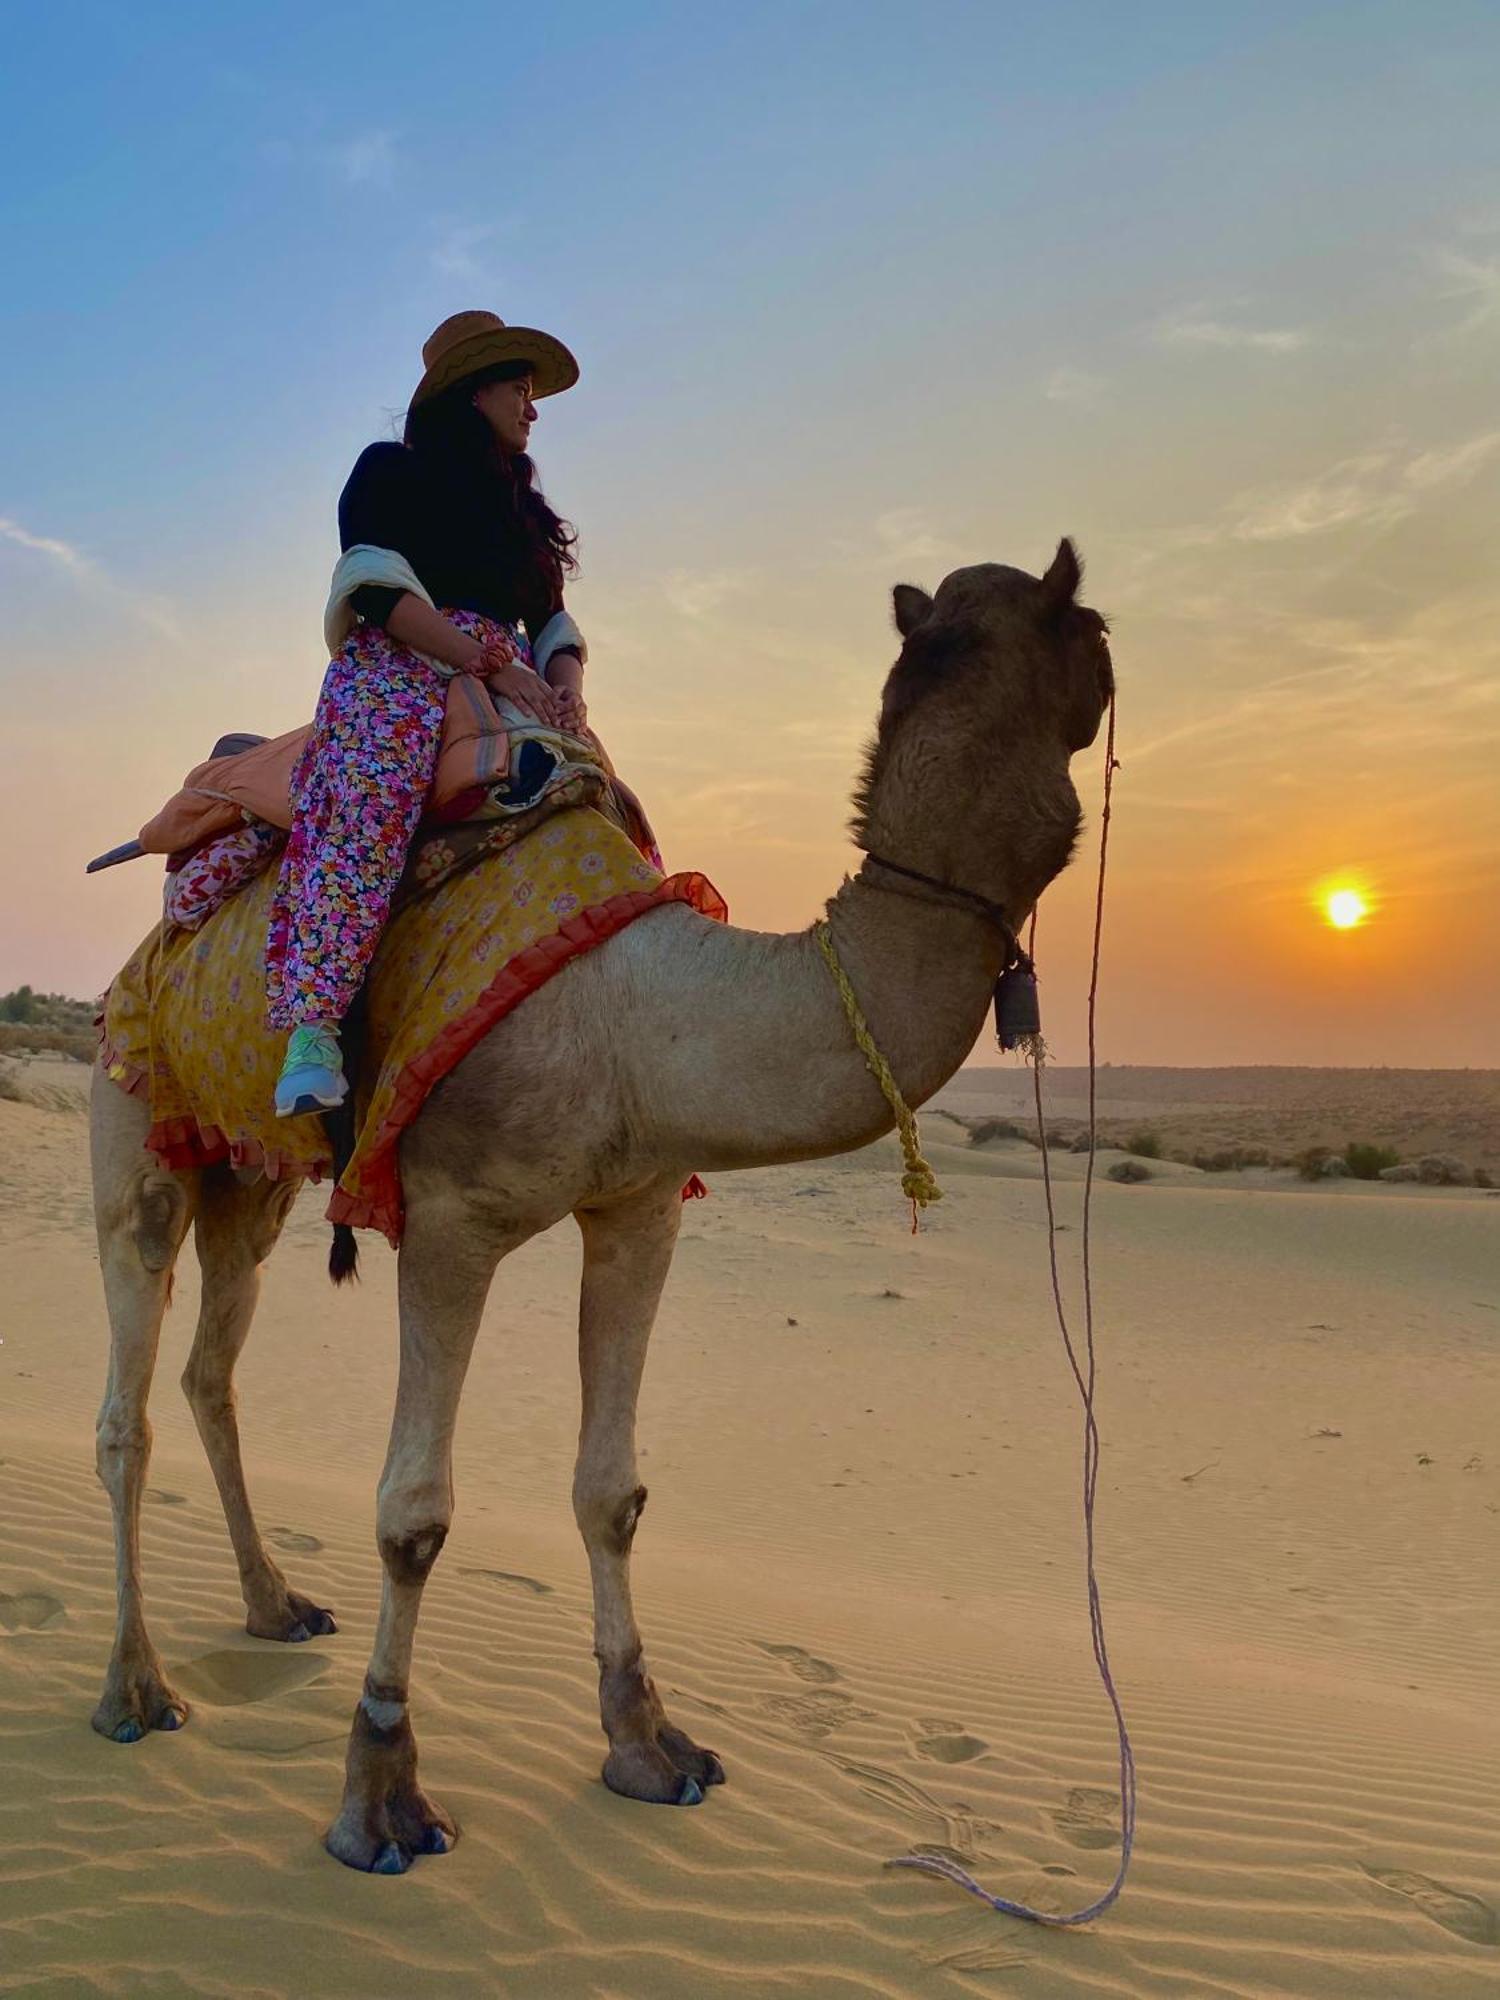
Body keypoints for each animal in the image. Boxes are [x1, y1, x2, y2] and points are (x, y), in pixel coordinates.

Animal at [85, 540, 1120, 1864]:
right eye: (1090, 625)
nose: (1116, 675)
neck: (635, 1012)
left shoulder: (639, 1205)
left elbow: (611, 1489)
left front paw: (650, 1743)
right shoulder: (448, 1216)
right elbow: (412, 1513)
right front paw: (380, 1794)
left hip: (251, 1175)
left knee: (212, 1365)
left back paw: (274, 1604)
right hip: (136, 1114)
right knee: (127, 1399)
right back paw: (135, 1687)